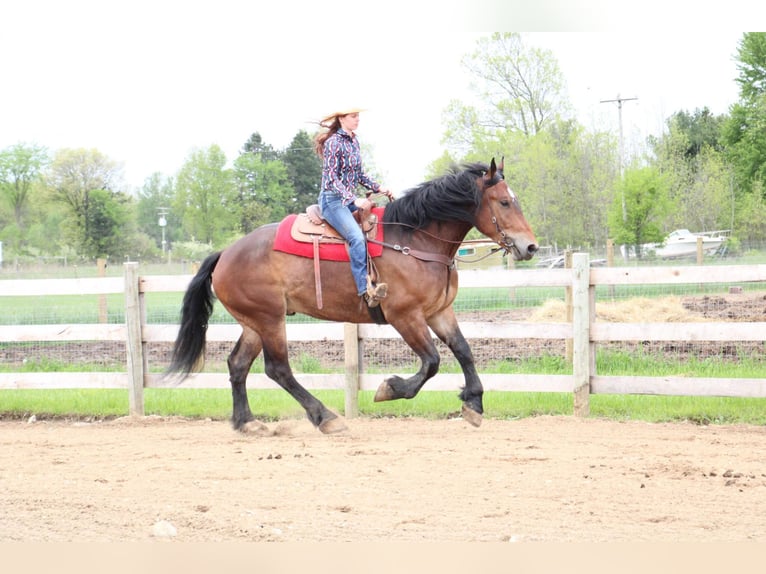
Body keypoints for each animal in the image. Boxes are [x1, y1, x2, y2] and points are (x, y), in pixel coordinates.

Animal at [168, 158, 540, 432]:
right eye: (504, 202)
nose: (530, 247)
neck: (415, 240)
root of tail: (226, 253)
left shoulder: (439, 312)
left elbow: (463, 351)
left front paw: (474, 403)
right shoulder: (405, 316)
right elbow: (432, 361)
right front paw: (391, 388)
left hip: (254, 323)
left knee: (238, 365)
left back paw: (247, 423)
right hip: (269, 319)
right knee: (278, 369)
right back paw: (325, 418)